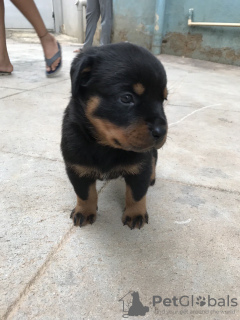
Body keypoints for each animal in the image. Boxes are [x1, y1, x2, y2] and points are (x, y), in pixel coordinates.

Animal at [61, 42, 168, 229]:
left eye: (164, 99)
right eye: (126, 98)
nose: (161, 131)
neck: (105, 146)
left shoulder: (141, 165)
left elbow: (137, 194)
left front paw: (135, 214)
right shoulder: (77, 167)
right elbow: (85, 193)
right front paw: (84, 211)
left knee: (154, 159)